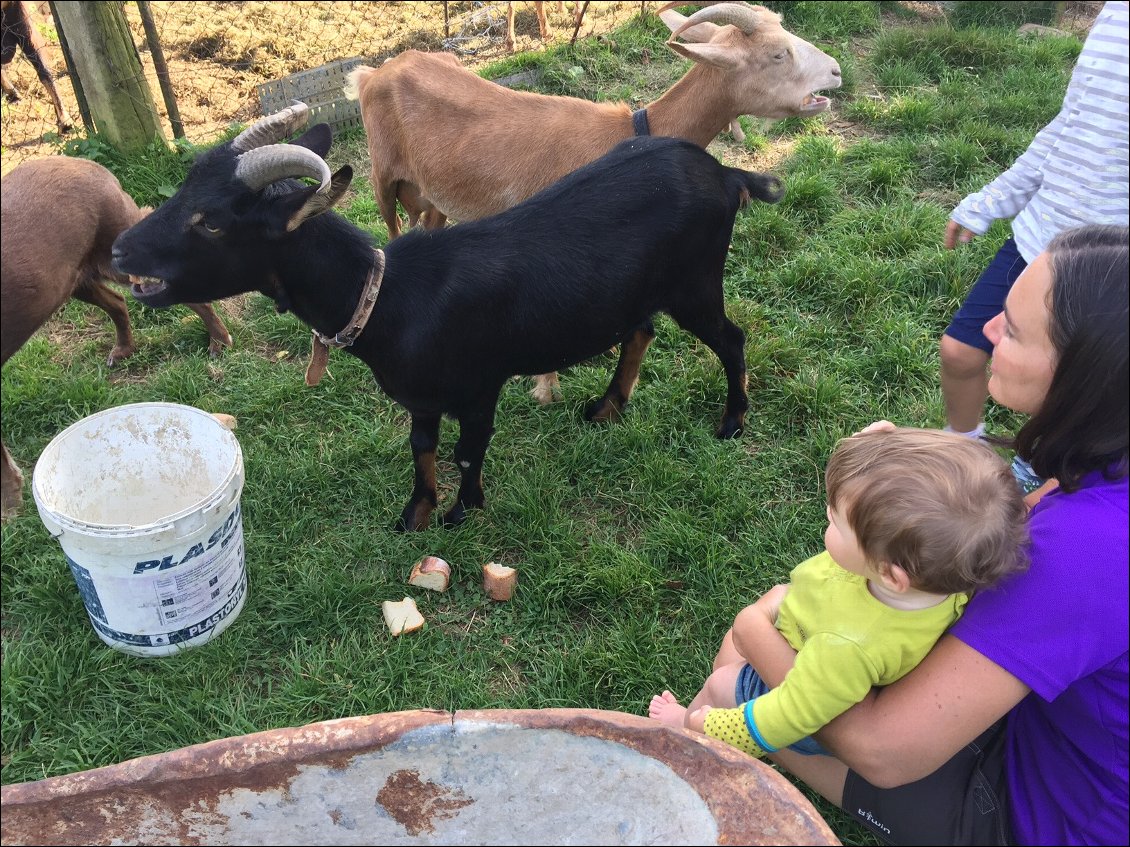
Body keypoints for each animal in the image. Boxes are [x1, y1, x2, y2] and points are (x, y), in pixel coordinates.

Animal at [112, 104, 786, 530]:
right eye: (183, 190)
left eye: (212, 223)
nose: (120, 249)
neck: (391, 298)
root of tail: (726, 172)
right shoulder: (422, 397)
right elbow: (422, 449)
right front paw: (416, 514)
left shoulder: (480, 383)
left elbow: (467, 450)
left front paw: (464, 511)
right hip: (644, 289)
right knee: (640, 329)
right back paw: (605, 408)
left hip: (696, 280)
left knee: (731, 338)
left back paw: (732, 421)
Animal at [343, 0, 840, 404]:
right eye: (778, 54)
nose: (836, 71)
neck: (632, 132)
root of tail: (373, 73)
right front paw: (547, 389)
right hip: (383, 178)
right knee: (389, 233)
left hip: (434, 195)